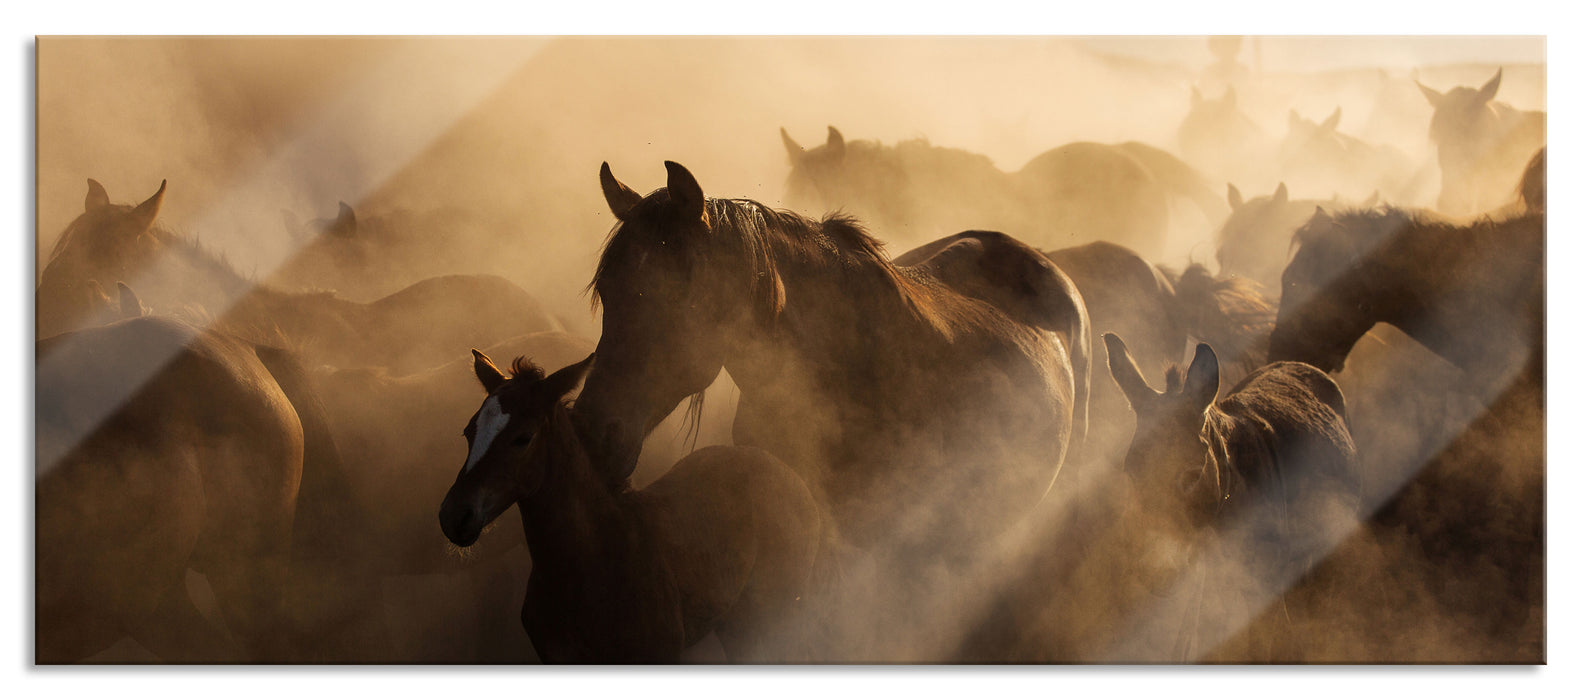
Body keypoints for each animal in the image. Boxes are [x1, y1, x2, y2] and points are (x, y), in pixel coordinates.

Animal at [436, 353, 822, 665]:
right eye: (469, 431)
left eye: (523, 437)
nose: (454, 516)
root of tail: (787, 472)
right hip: (734, 621)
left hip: (774, 614)